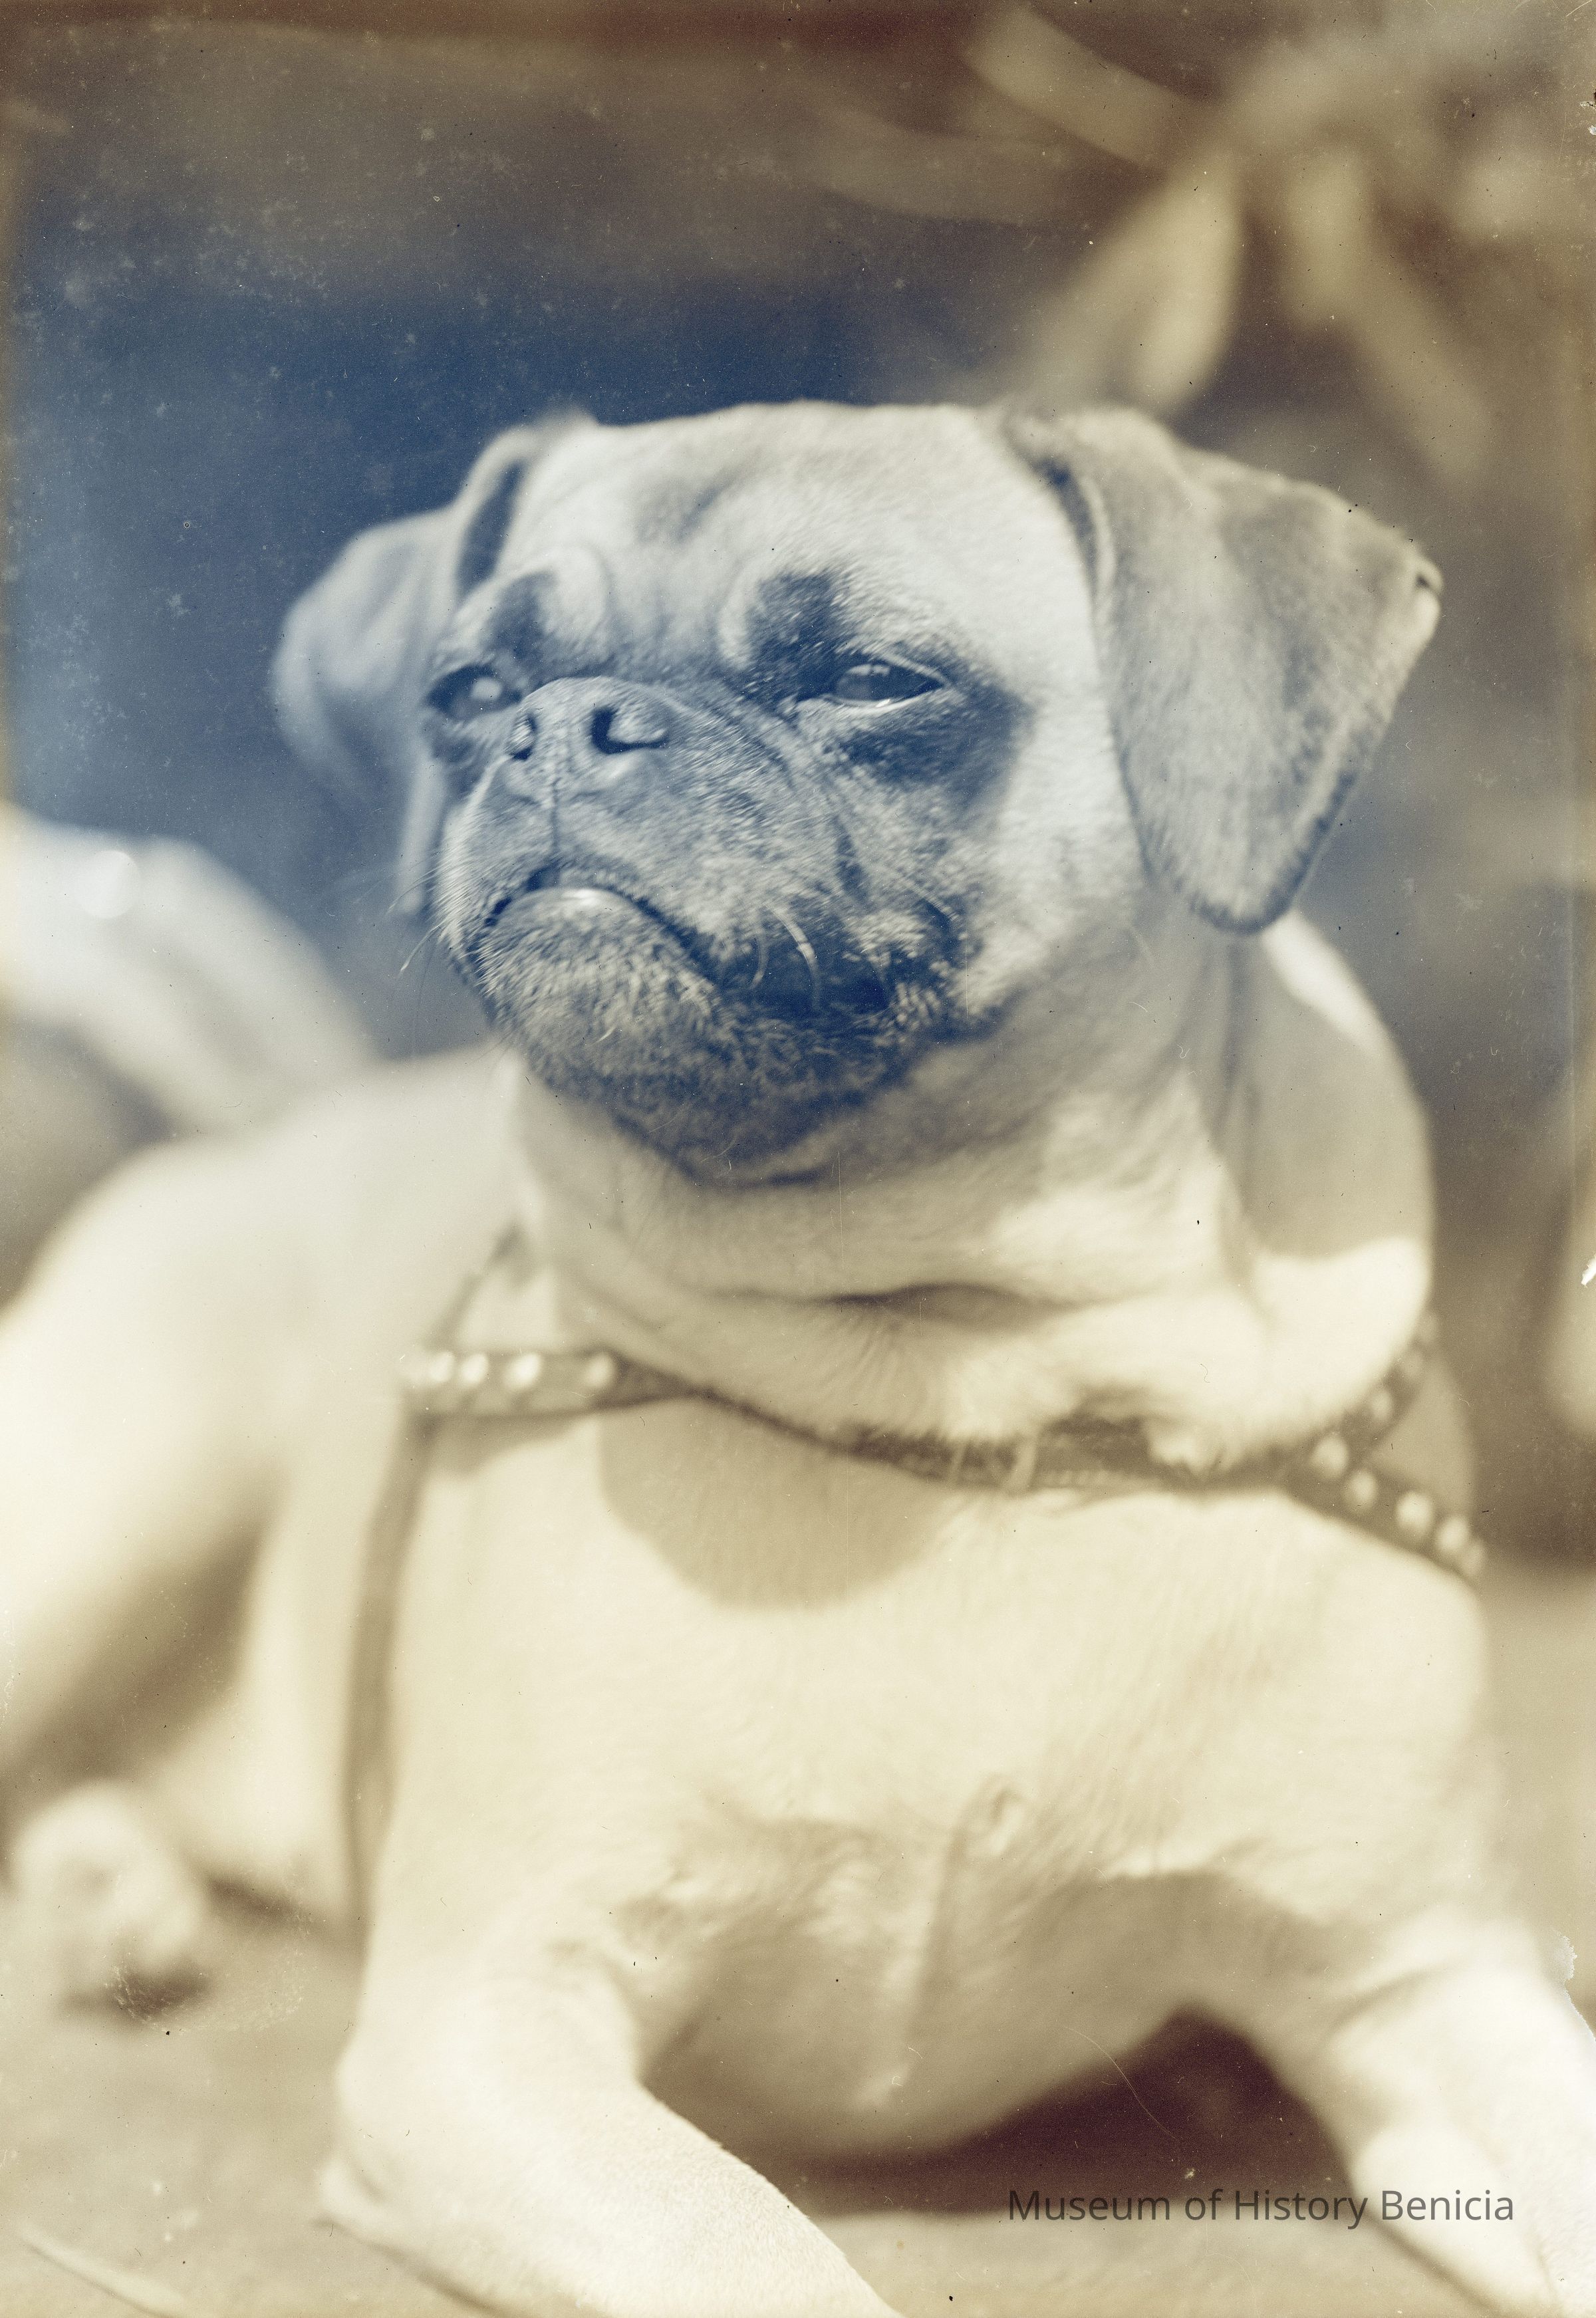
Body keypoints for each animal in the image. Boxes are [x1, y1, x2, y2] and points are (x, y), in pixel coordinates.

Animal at [3, 401, 1595, 2318]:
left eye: (871, 679)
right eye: (471, 687)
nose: (568, 724)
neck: (978, 1398)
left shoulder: (1426, 1983)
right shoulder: (491, 2033)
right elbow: (759, 2253)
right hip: (122, 1486)